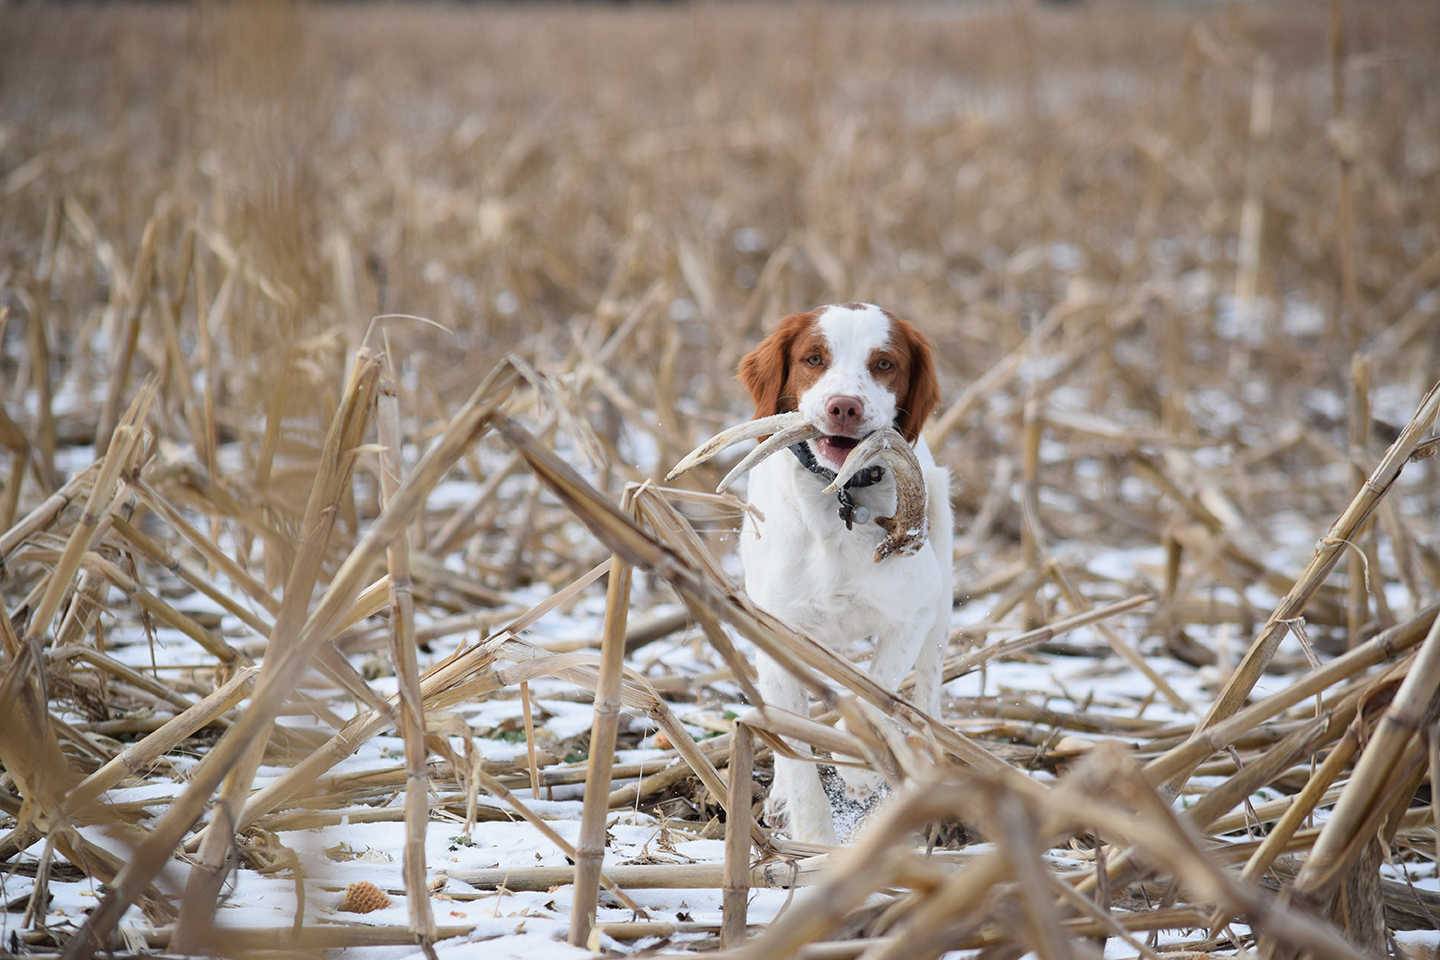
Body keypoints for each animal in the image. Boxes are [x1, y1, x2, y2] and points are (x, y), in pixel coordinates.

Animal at [737, 303, 950, 846]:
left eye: (884, 364)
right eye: (814, 358)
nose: (844, 408)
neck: (839, 496)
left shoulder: (913, 617)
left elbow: (874, 691)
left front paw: (858, 771)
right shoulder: (776, 636)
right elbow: (797, 754)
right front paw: (815, 841)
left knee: (928, 687)